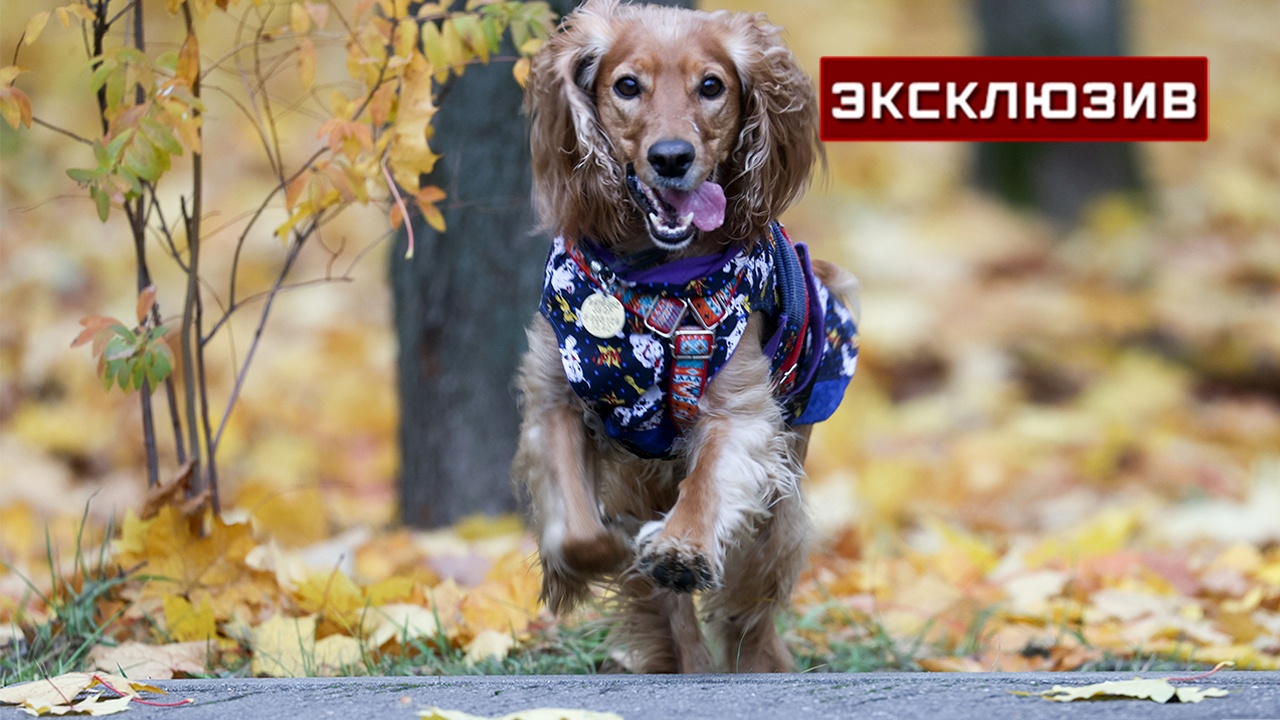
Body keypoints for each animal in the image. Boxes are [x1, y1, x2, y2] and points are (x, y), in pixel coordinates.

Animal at [512, 0, 859, 673]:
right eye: (627, 85)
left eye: (711, 86)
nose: (671, 156)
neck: (650, 280)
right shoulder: (556, 399)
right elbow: (580, 527)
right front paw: (597, 556)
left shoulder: (740, 415)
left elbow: (705, 489)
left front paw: (681, 549)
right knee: (674, 614)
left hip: (777, 507)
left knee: (750, 603)